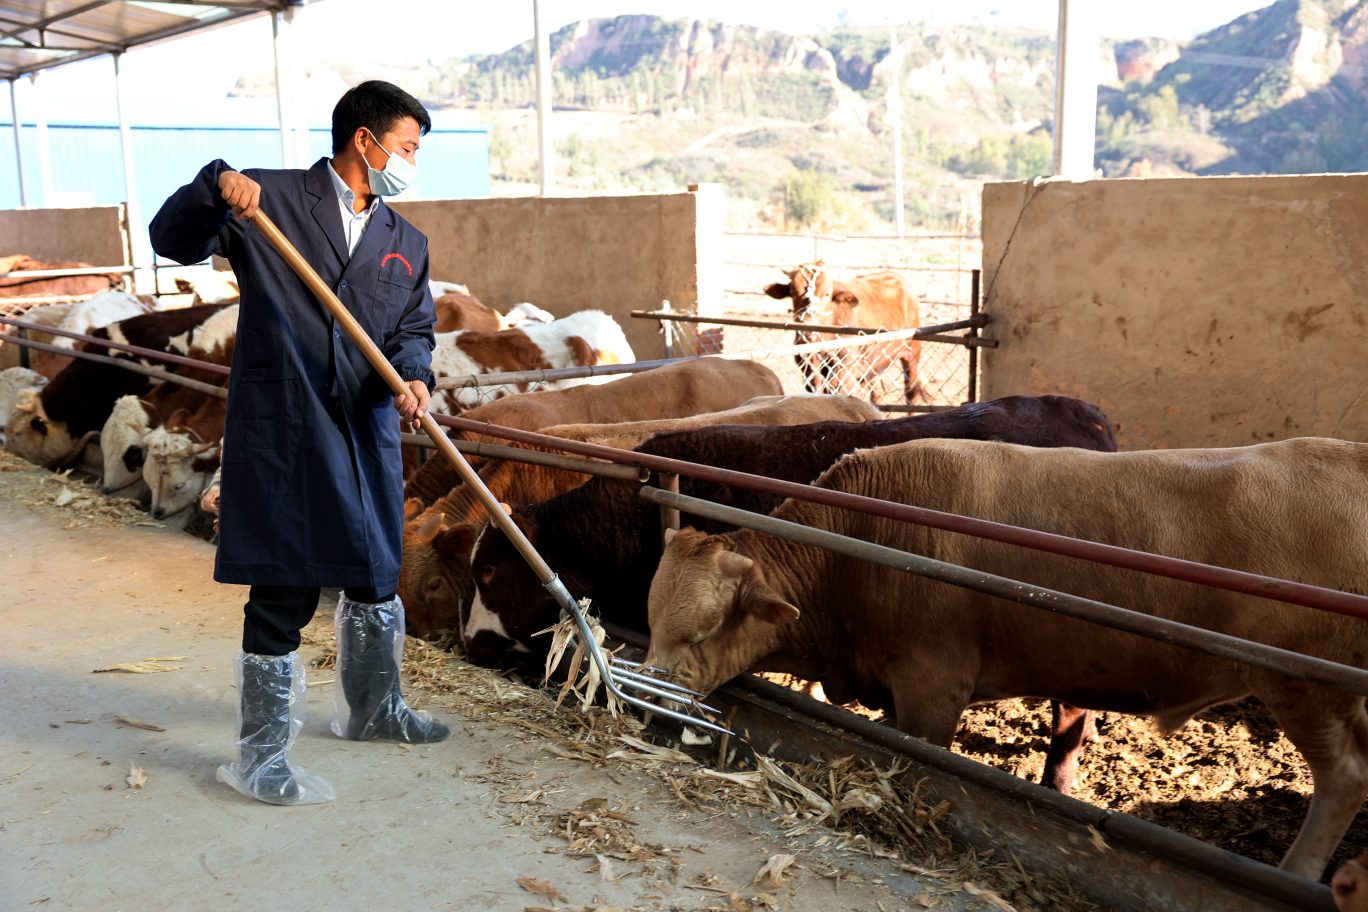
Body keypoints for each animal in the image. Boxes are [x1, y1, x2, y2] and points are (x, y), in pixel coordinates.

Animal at [645, 437, 1368, 880]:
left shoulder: (932, 683)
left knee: (1345, 777)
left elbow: (920, 763)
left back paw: (1296, 872)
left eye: (703, 631)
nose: (646, 696)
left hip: (1303, 683)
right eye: (651, 618)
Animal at [766, 265, 924, 404]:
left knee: (912, 392)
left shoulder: (845, 374)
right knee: (878, 393)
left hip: (912, 353)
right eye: (792, 294)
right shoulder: (810, 373)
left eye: (827, 294)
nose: (808, 323)